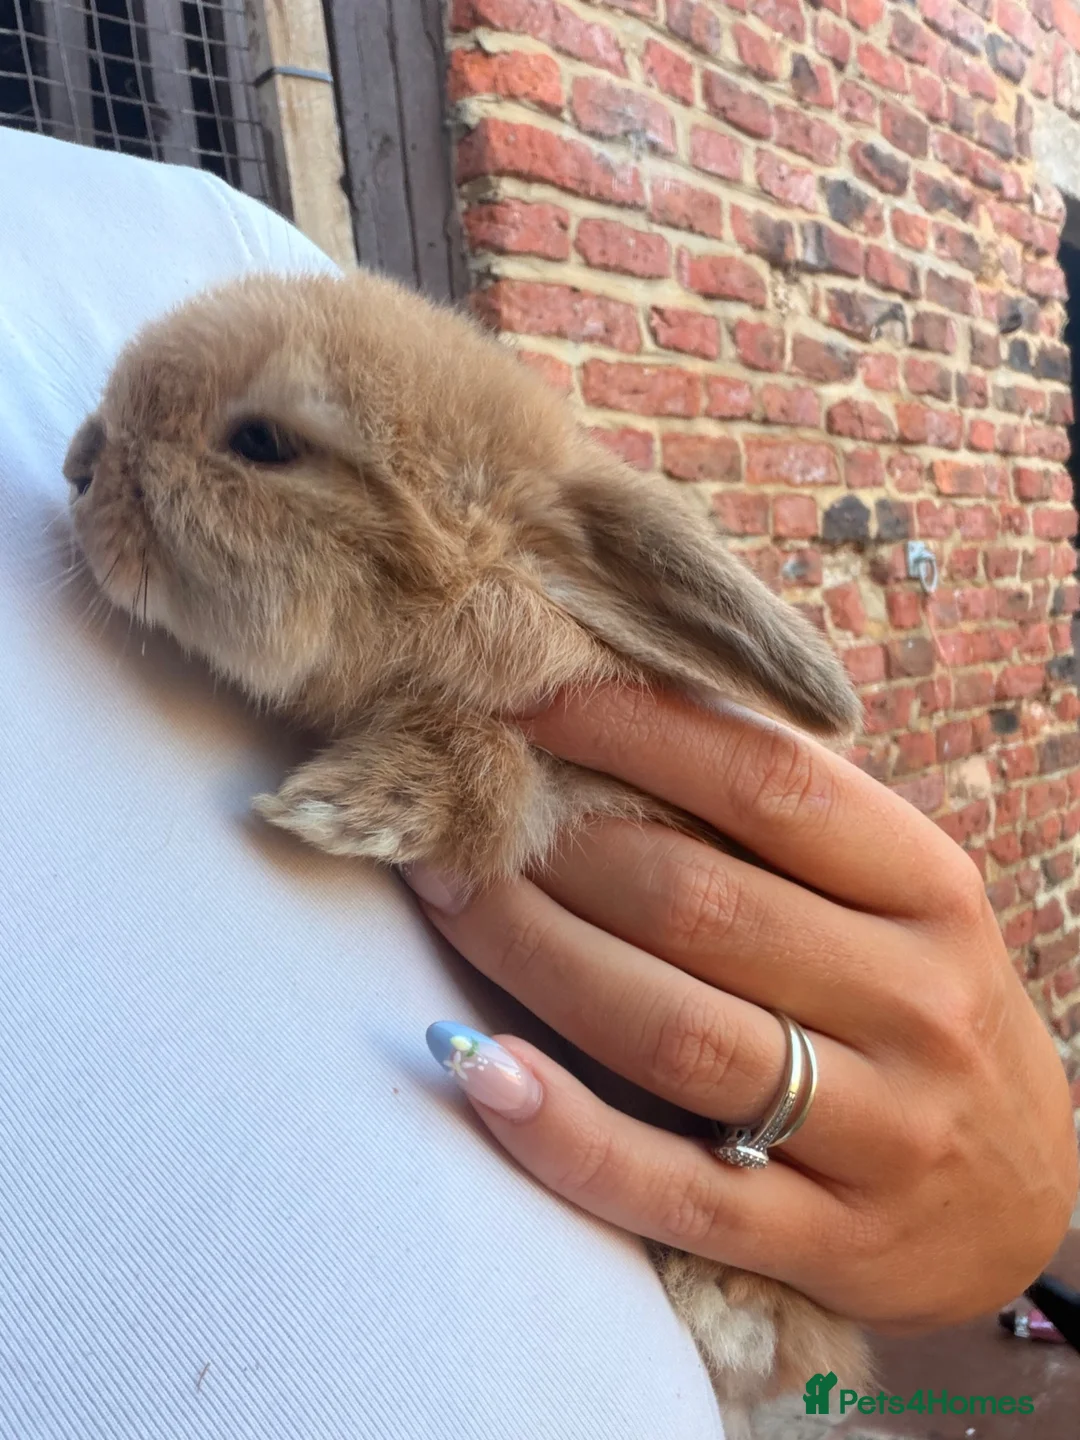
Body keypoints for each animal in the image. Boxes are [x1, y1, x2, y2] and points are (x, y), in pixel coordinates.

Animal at [63, 267, 870, 1411]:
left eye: (263, 442)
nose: (78, 464)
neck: (484, 600)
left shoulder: (578, 775)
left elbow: (495, 779)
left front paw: (341, 805)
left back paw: (725, 1304)